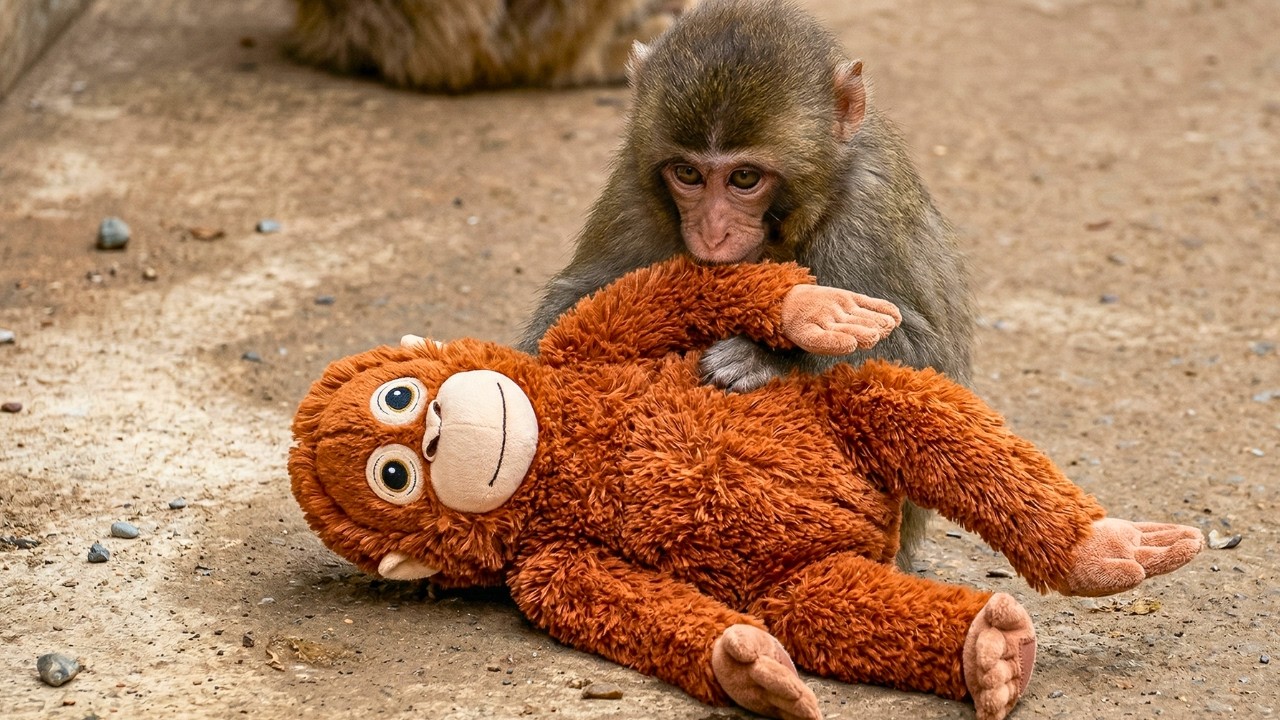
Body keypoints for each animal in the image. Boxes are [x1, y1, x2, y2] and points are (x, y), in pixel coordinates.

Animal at [519, 0, 974, 567]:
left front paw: (763, 358)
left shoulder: (870, 206)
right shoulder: (632, 186)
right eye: (688, 174)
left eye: (743, 178)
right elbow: (568, 309)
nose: (713, 233)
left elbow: (926, 364)